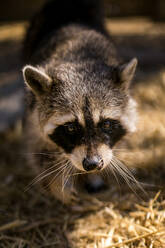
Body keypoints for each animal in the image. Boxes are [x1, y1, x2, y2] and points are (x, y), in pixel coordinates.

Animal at [22, 0, 138, 202]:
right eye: (70, 127)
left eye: (107, 124)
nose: (92, 164)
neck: (79, 61)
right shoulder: (32, 110)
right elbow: (38, 147)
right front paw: (57, 184)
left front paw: (94, 176)